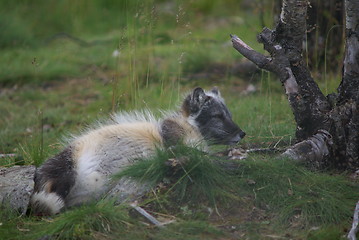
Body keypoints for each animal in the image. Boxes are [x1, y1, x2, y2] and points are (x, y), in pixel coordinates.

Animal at [30, 87, 245, 215]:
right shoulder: (175, 144)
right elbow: (205, 157)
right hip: (68, 167)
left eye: (229, 114)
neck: (188, 125)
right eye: (217, 116)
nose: (242, 133)